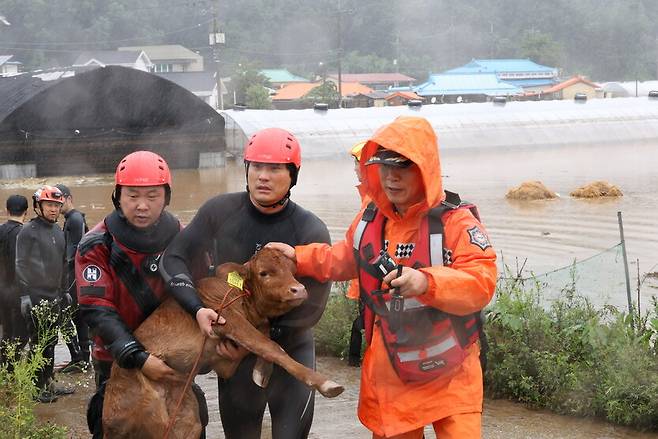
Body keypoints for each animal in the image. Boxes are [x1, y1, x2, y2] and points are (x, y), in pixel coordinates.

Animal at [102, 249, 344, 439]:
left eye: (293, 270)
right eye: (264, 273)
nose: (299, 289)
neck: (244, 298)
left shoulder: (226, 359)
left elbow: (265, 337)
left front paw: (261, 371)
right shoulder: (228, 318)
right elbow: (271, 346)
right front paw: (325, 383)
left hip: (187, 420)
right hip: (153, 418)